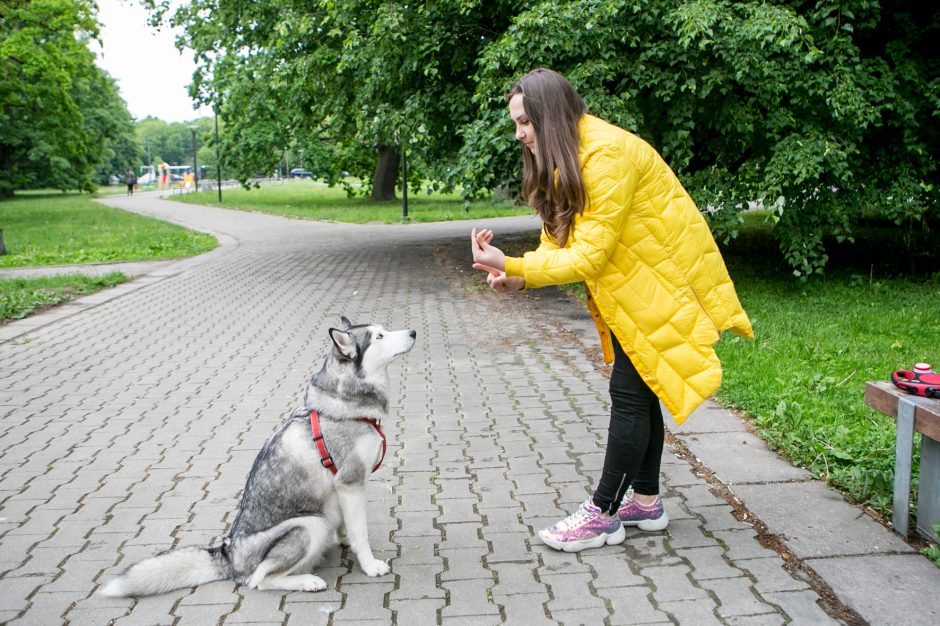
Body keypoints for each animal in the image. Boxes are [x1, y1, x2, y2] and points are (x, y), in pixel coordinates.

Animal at [98, 316, 414, 596]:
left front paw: (345, 538)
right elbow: (361, 533)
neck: (344, 407)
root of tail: (229, 556)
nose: (412, 332)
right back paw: (306, 581)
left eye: (384, 330)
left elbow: (349, 526)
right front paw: (370, 565)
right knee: (258, 580)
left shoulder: (343, 492)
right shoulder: (350, 483)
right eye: (379, 336)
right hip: (310, 524)